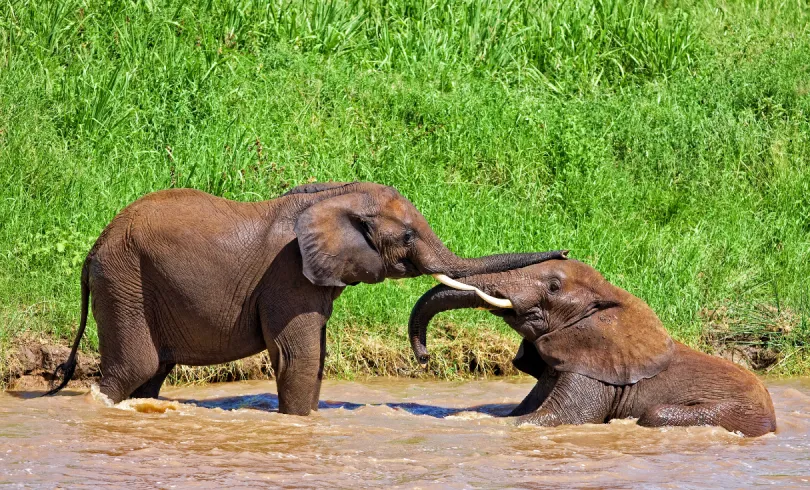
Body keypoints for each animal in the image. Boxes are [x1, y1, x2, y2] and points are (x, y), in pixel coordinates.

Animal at [44, 182, 560, 416]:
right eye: (408, 236)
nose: (425, 356)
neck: (336, 195)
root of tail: (93, 248)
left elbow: (317, 354)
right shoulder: (287, 276)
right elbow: (299, 353)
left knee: (150, 374)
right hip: (124, 281)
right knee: (135, 366)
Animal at [410, 260, 776, 436]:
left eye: (553, 287)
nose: (424, 357)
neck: (611, 295)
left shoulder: (594, 371)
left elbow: (562, 418)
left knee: (656, 414)